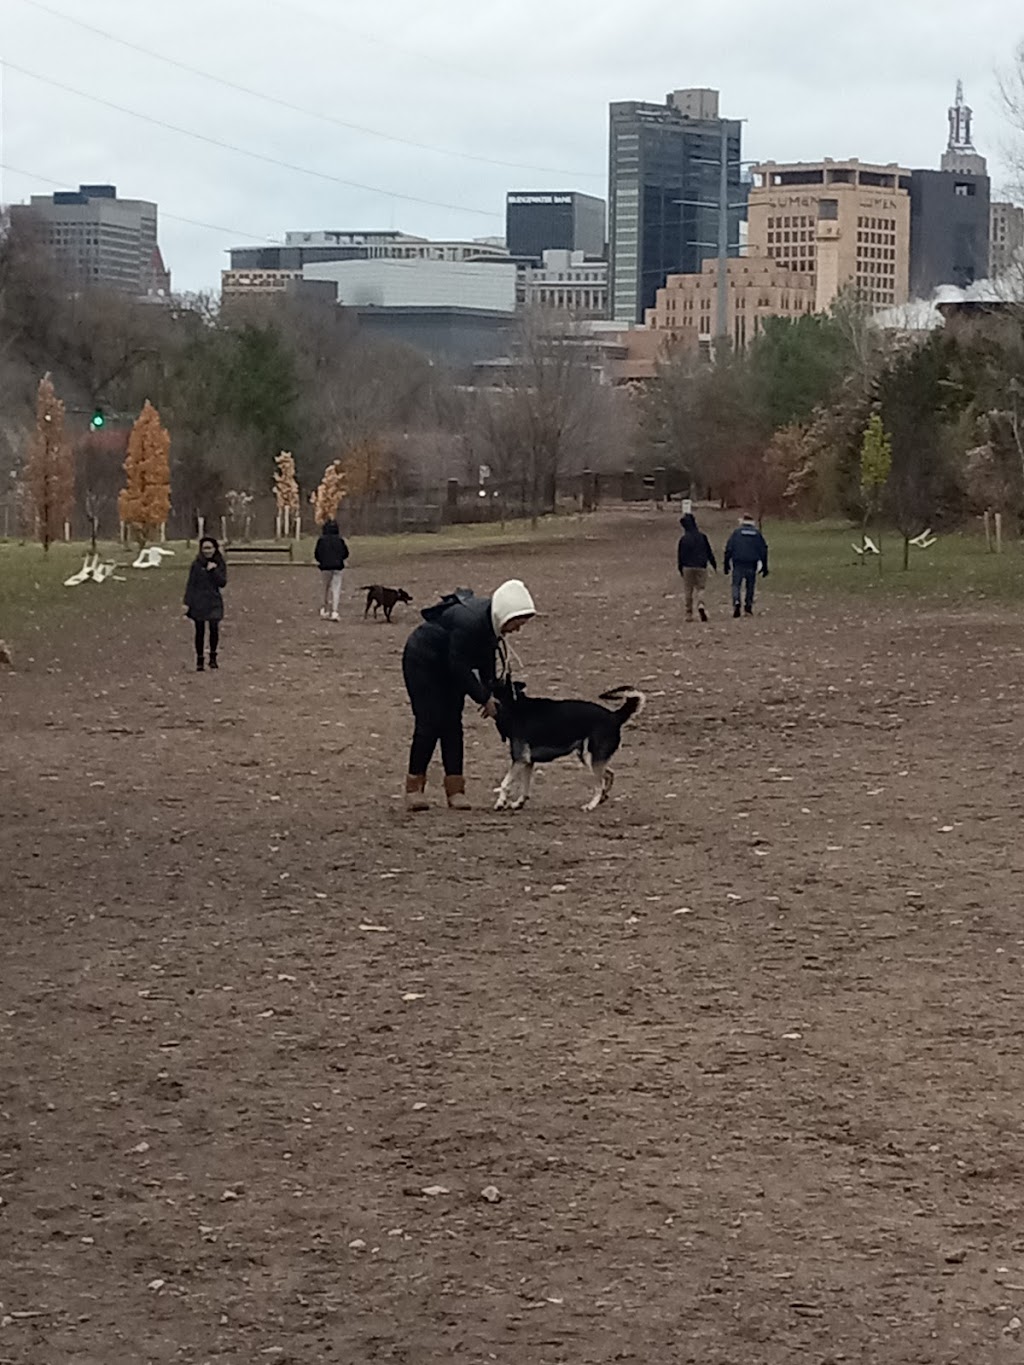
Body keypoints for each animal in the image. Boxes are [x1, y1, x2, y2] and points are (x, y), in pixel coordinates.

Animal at [494, 674, 644, 802]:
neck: (516, 705)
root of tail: (614, 716)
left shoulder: (520, 759)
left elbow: (504, 784)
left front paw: (500, 803)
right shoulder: (527, 762)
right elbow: (524, 788)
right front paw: (517, 803)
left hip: (591, 758)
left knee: (599, 784)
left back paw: (591, 805)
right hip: (588, 758)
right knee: (609, 775)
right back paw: (602, 797)